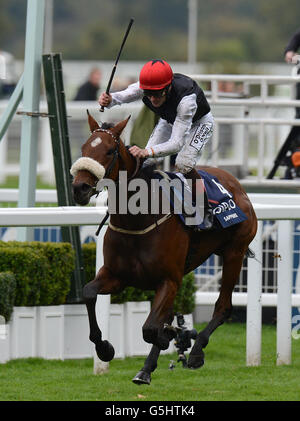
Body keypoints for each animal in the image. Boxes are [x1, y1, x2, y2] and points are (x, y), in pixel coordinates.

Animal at [71, 112, 258, 384]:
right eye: (84, 148)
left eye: (109, 151)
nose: (80, 188)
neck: (138, 219)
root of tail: (237, 185)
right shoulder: (117, 276)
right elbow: (88, 293)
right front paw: (105, 348)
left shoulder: (168, 280)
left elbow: (150, 328)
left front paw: (172, 338)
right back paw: (147, 368)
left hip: (234, 253)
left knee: (223, 307)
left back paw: (195, 351)